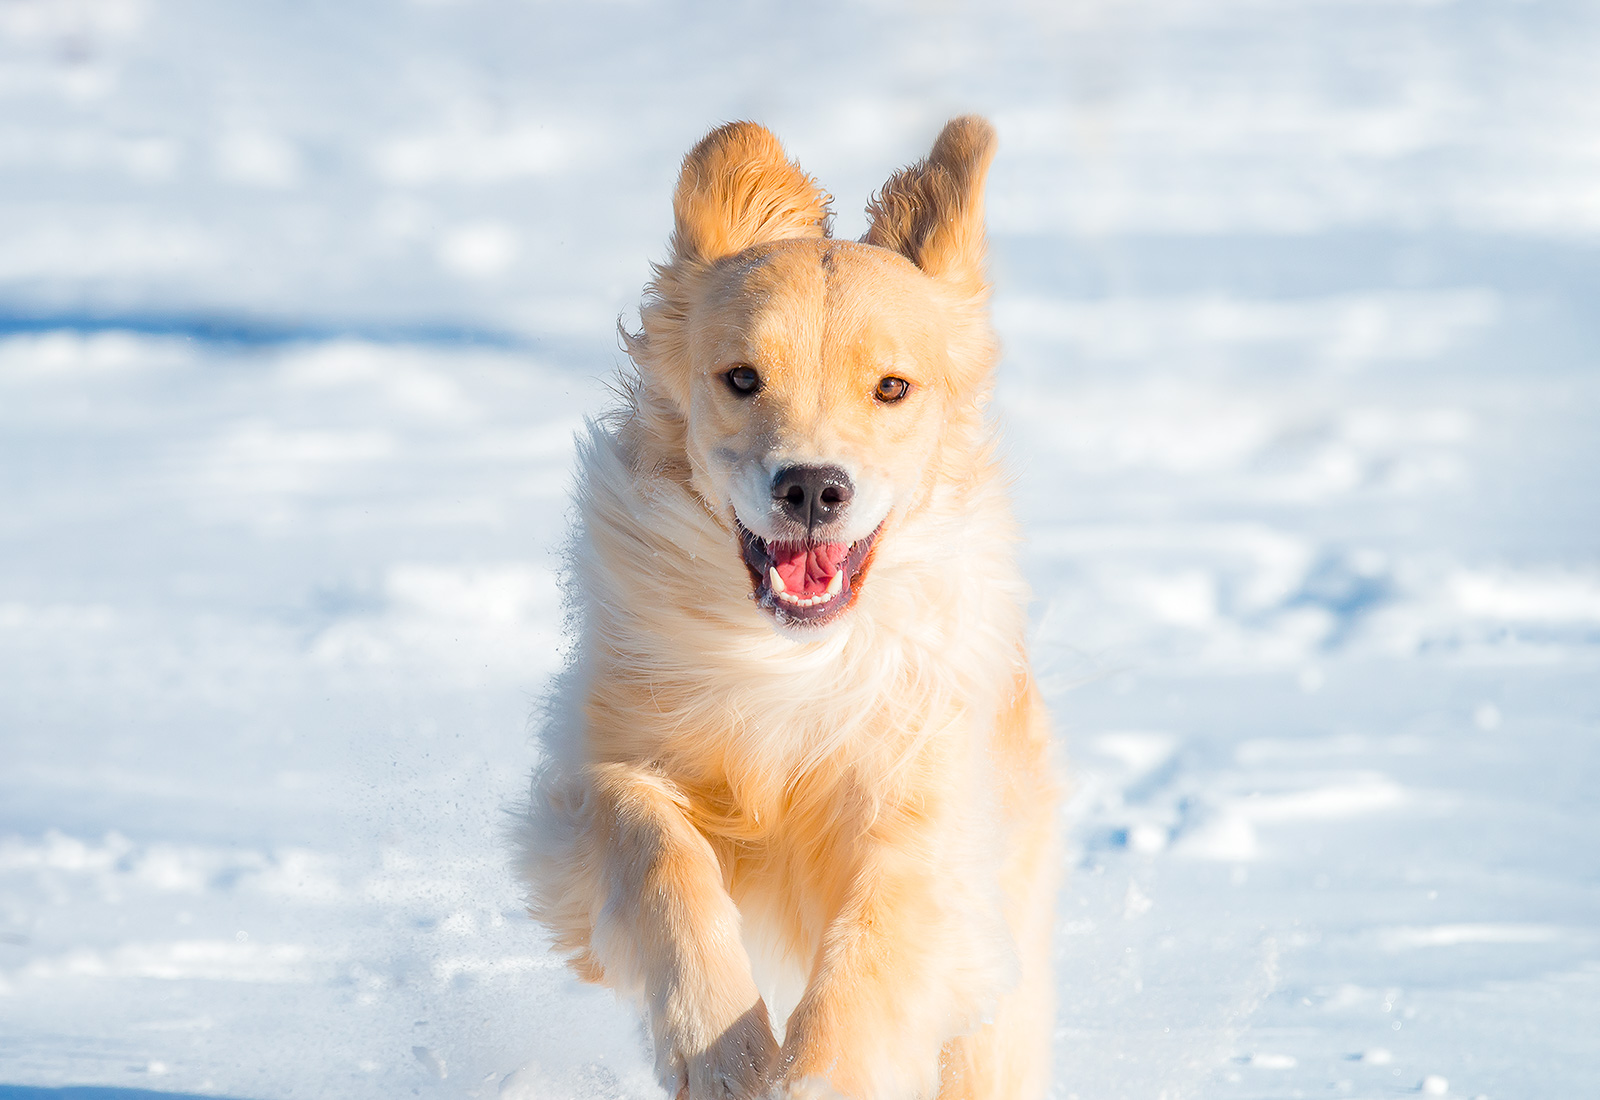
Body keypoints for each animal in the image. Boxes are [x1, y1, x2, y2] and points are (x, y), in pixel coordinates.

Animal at [518, 113, 1056, 1100]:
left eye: (892, 387)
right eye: (741, 378)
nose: (811, 486)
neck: (793, 657)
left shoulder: (925, 821)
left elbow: (871, 953)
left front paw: (811, 1077)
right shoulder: (595, 775)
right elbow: (656, 852)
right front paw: (723, 1057)